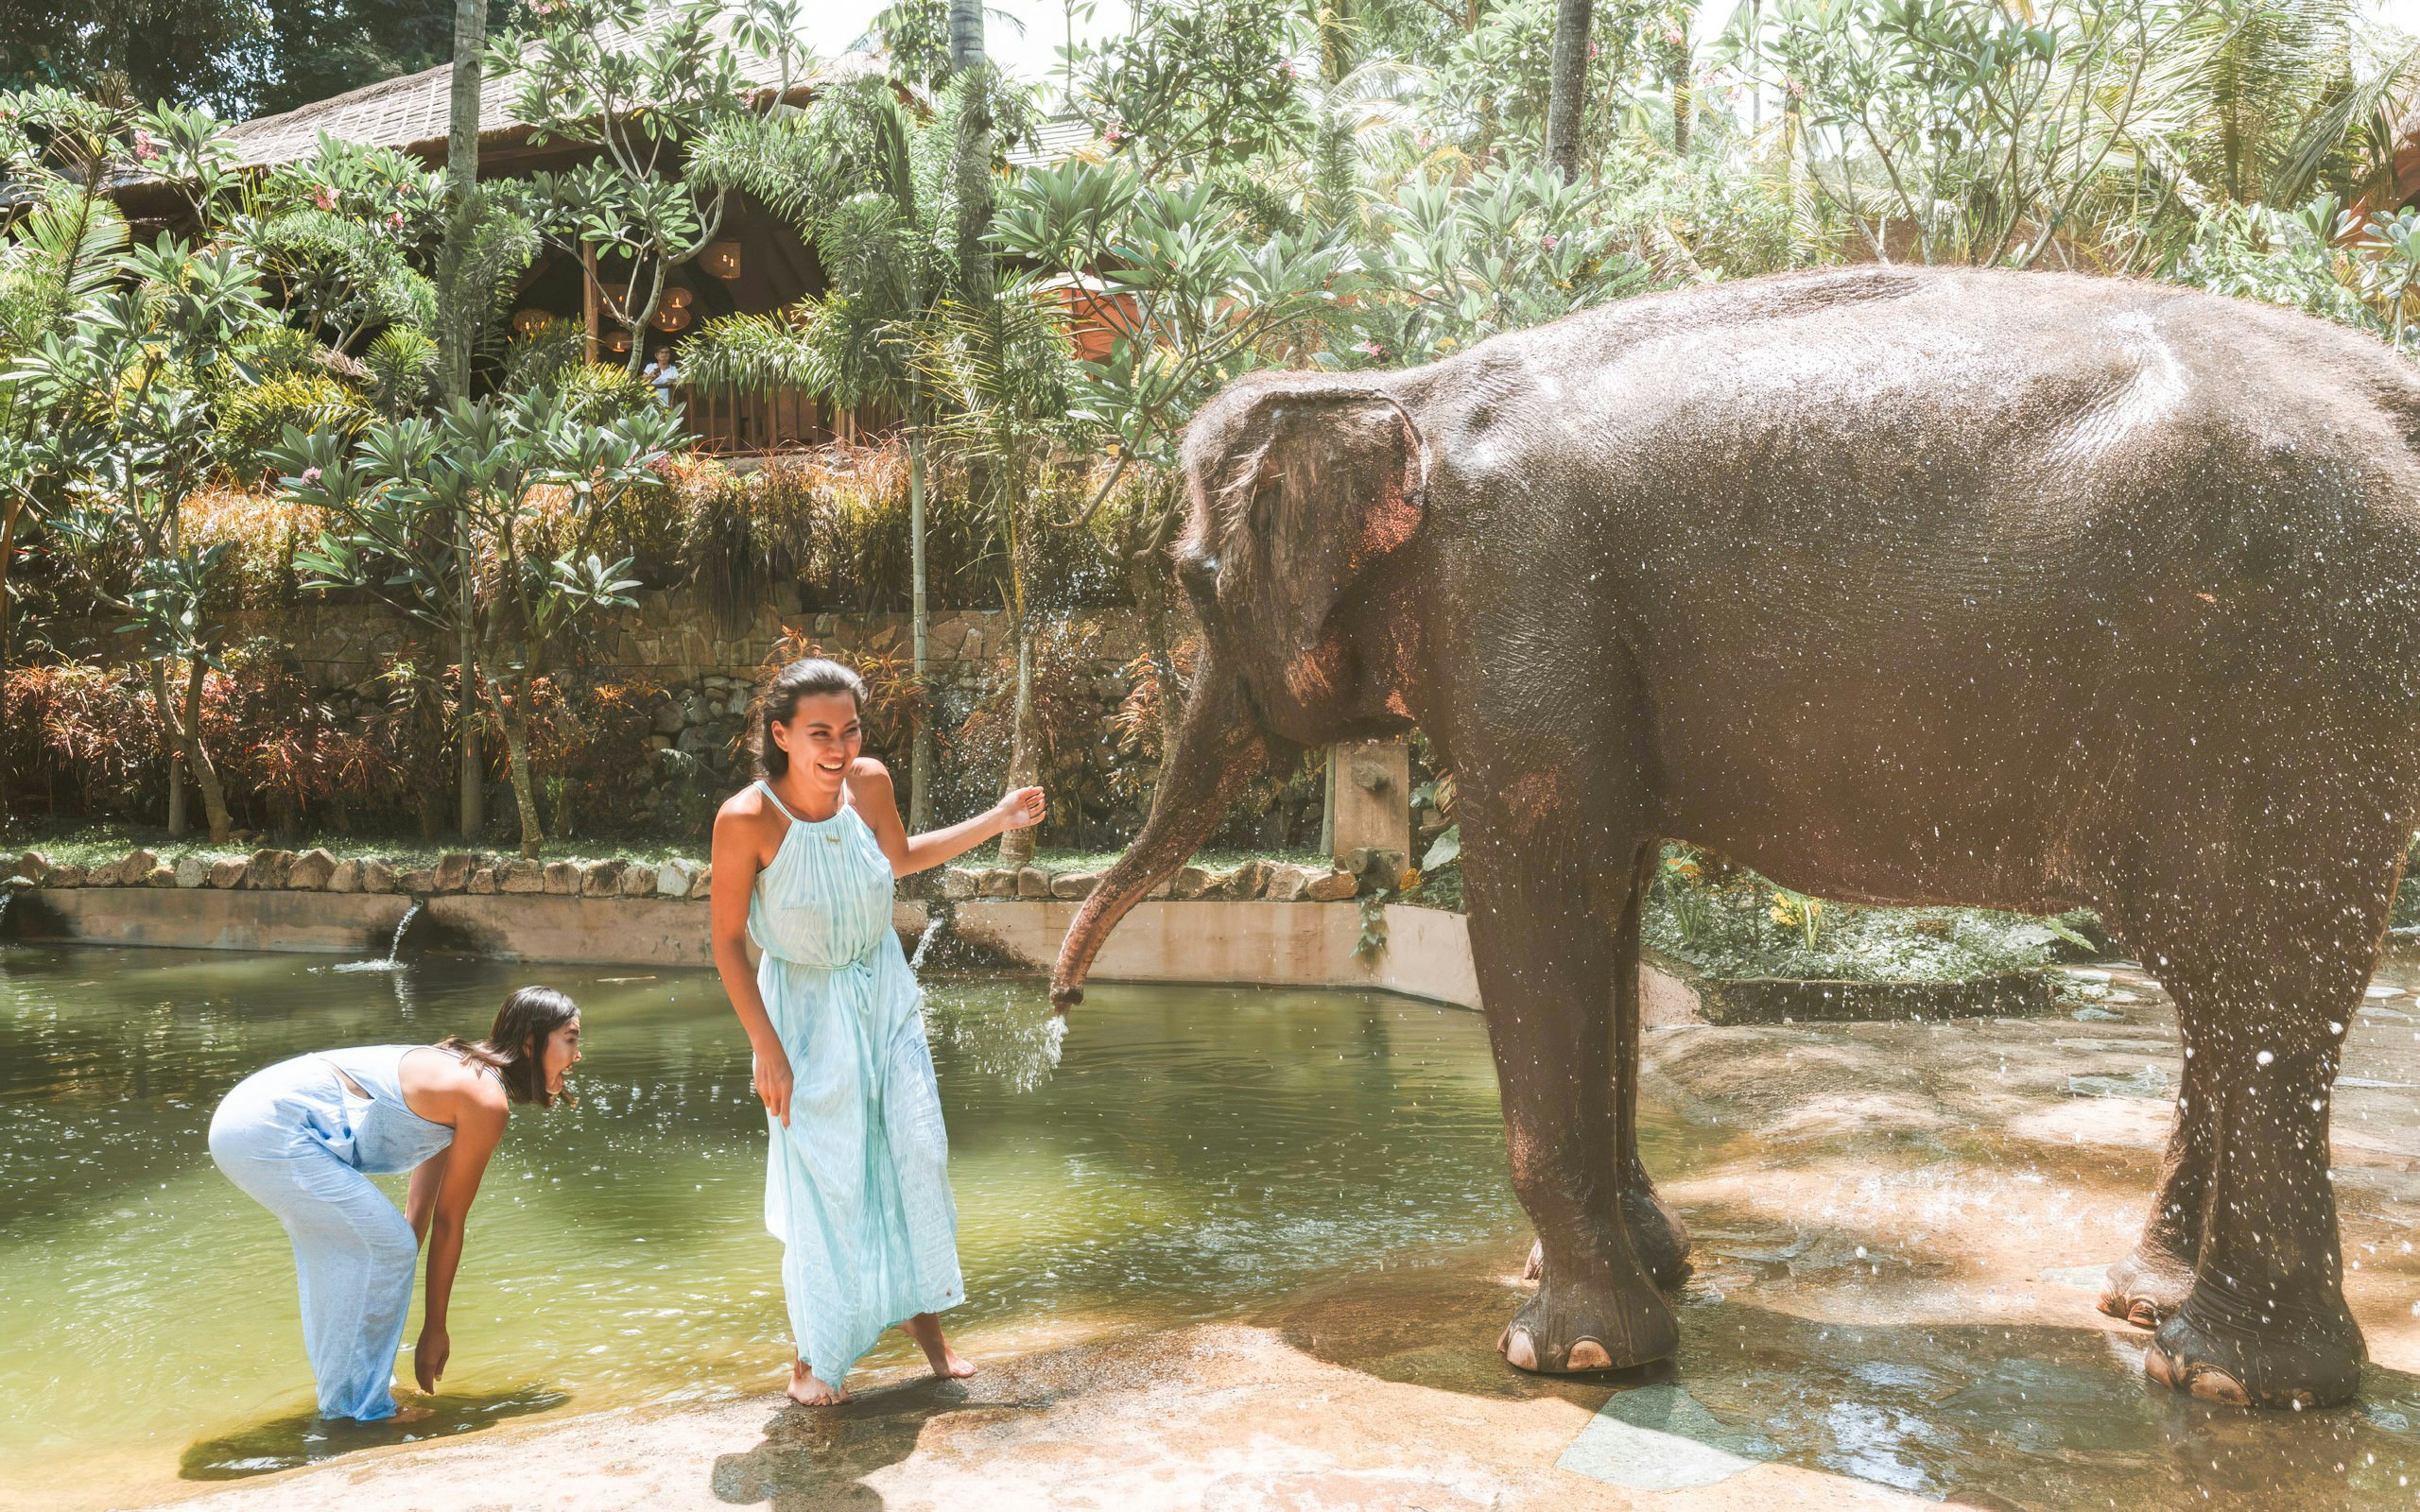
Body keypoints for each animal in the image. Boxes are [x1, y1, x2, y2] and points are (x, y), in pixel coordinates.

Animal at [1050, 263, 2420, 1410]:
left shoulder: (1521, 603)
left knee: (2260, 982)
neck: (1407, 385)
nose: (1061, 1006)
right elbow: (1610, 895)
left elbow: (1536, 887)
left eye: (1192, 580)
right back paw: (2153, 1311)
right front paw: (1652, 1269)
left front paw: (1570, 1354)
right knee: (2223, 987)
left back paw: (2232, 1379)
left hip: (2292, 677)